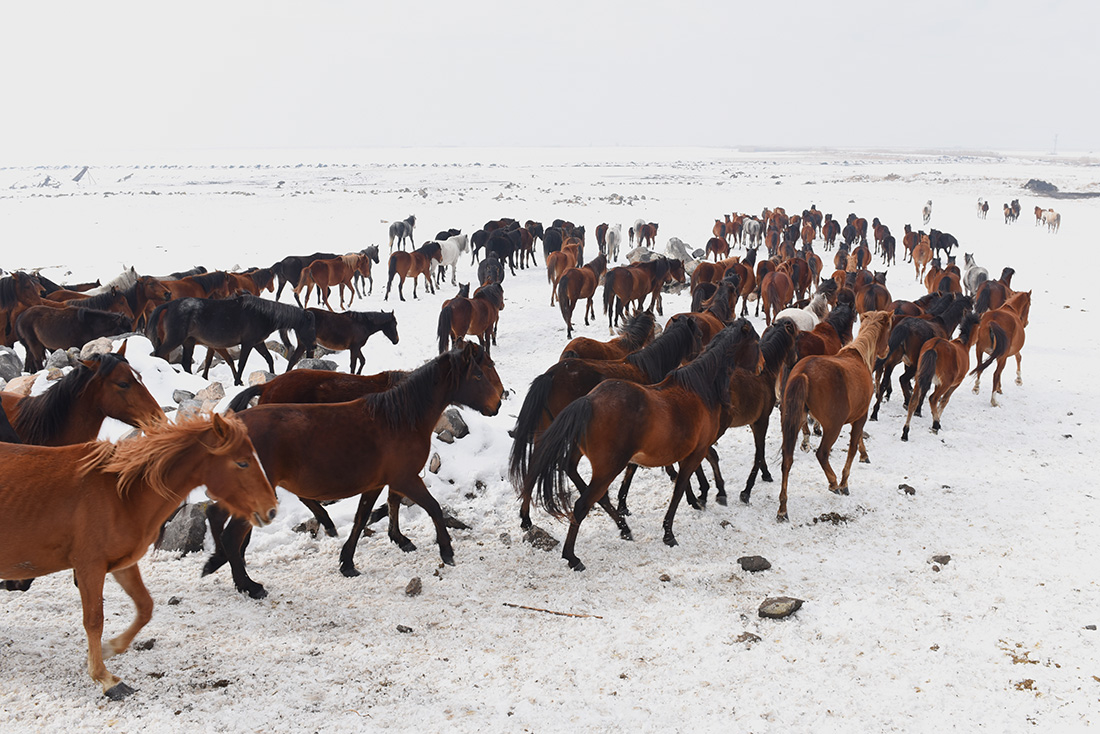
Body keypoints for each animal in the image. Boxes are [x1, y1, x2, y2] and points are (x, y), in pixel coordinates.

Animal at [1, 413, 275, 699]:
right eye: (242, 462)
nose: (271, 509)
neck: (121, 494)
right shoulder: (89, 567)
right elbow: (94, 620)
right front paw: (107, 679)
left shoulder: (121, 565)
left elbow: (145, 607)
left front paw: (110, 648)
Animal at [201, 343, 503, 598]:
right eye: (478, 375)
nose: (498, 403)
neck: (400, 418)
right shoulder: (406, 478)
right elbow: (433, 508)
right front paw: (446, 551)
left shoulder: (378, 483)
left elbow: (363, 518)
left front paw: (348, 562)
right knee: (231, 535)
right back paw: (249, 585)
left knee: (219, 517)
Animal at [774, 310, 893, 521]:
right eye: (888, 328)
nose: (886, 350)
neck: (859, 357)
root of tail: (804, 373)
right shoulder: (861, 416)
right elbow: (853, 446)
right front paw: (845, 482)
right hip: (833, 427)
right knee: (821, 453)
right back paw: (834, 483)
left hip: (792, 421)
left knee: (787, 460)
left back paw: (783, 509)